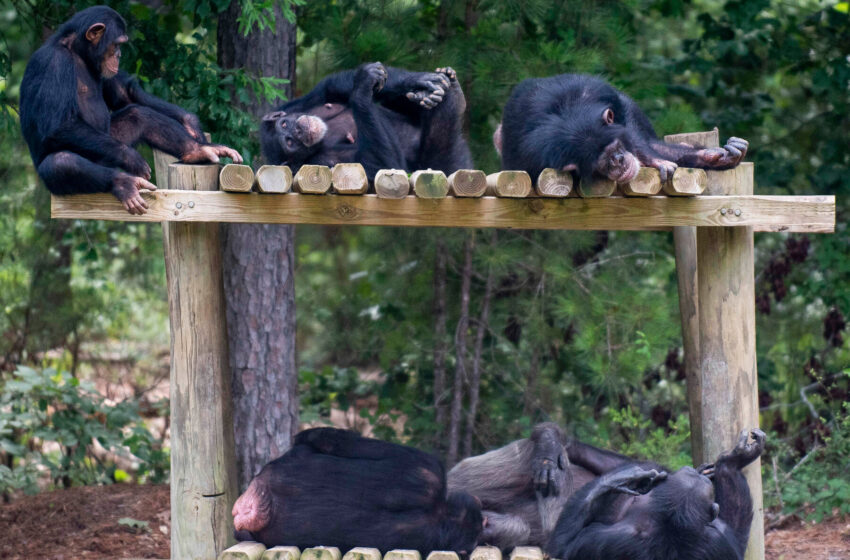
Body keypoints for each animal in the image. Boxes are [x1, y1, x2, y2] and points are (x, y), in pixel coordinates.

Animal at [20, 6, 238, 214]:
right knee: (60, 162)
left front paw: (190, 122)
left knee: (139, 115)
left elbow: (125, 94)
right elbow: (58, 124)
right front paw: (131, 158)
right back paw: (124, 183)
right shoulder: (54, 63)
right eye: (116, 44)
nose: (119, 55)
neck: (79, 52)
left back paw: (198, 150)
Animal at [258, 62, 470, 178]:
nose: (298, 131)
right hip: (447, 162)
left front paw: (420, 79)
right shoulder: (319, 163)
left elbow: (339, 83)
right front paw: (361, 89)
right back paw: (454, 100)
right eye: (289, 142)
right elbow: (379, 166)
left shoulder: (308, 100)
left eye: (284, 124)